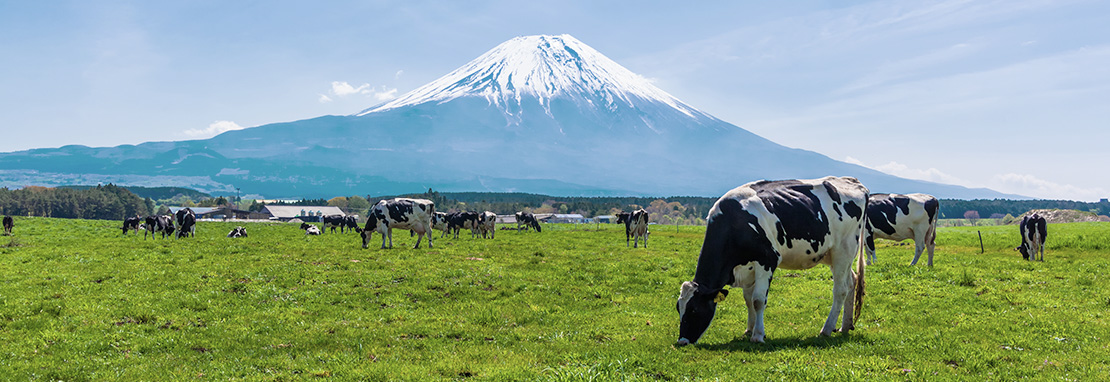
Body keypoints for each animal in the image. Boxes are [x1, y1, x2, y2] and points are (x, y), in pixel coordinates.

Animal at [670, 176, 870, 346]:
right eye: (678, 308)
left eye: (694, 309)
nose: (682, 341)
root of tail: (853, 182)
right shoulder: (748, 268)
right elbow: (748, 299)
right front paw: (749, 330)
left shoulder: (767, 260)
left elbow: (758, 300)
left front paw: (758, 335)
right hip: (832, 255)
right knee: (851, 281)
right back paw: (845, 326)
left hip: (843, 249)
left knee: (840, 290)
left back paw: (826, 329)